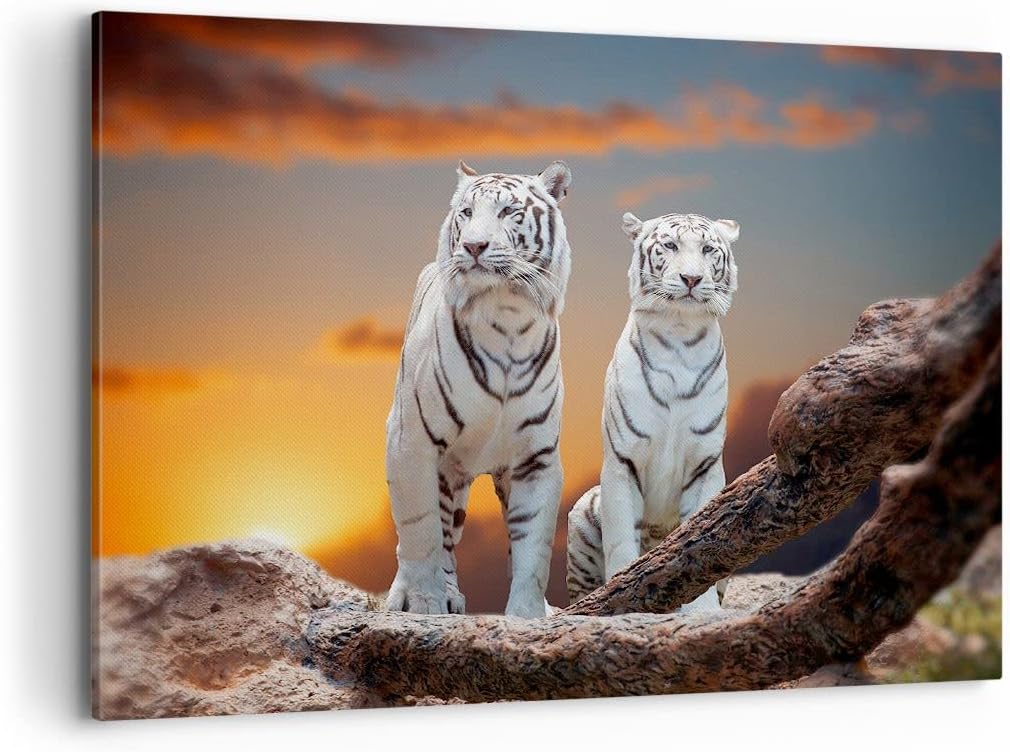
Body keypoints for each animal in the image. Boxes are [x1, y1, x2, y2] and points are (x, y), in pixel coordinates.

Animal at [385, 159, 573, 618]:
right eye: (466, 213)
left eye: (509, 212)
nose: (473, 246)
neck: (507, 315)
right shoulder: (410, 440)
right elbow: (419, 533)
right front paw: (423, 604)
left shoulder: (536, 457)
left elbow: (533, 547)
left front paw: (528, 615)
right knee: (435, 537)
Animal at [566, 211, 740, 613]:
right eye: (670, 246)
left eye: (708, 249)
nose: (691, 278)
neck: (680, 333)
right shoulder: (622, 460)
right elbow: (620, 542)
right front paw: (620, 597)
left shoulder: (705, 463)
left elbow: (702, 540)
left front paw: (702, 611)